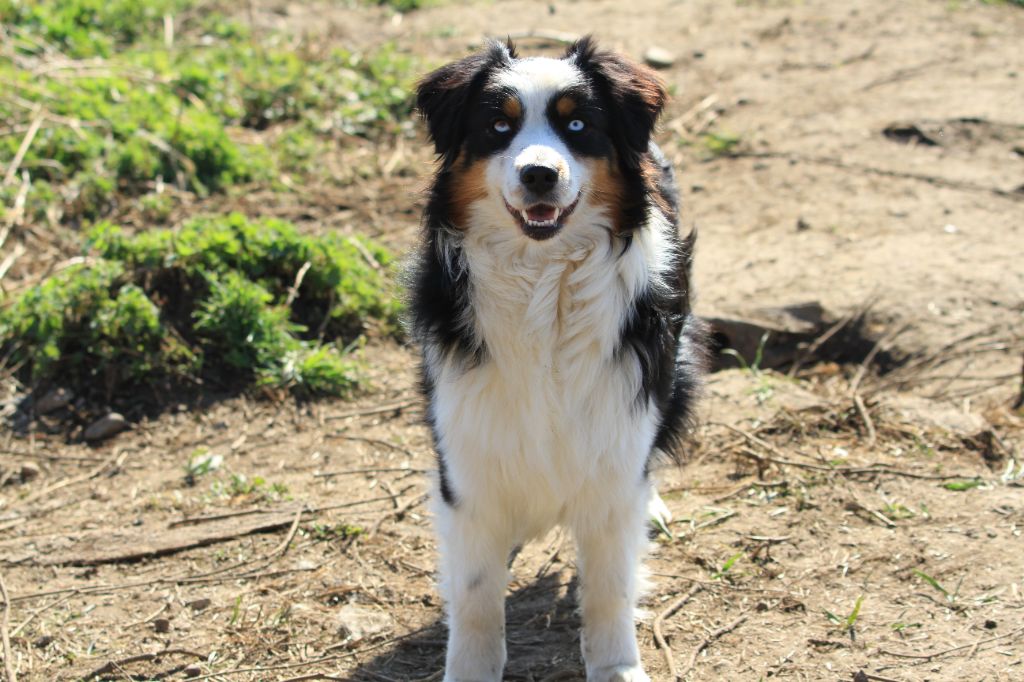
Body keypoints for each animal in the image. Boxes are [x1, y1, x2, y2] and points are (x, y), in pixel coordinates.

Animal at [405, 37, 704, 679]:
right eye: (498, 125)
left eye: (577, 125)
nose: (540, 173)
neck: (543, 279)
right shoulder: (467, 455)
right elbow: (475, 595)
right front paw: (472, 667)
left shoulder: (616, 444)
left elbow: (611, 586)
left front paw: (618, 666)